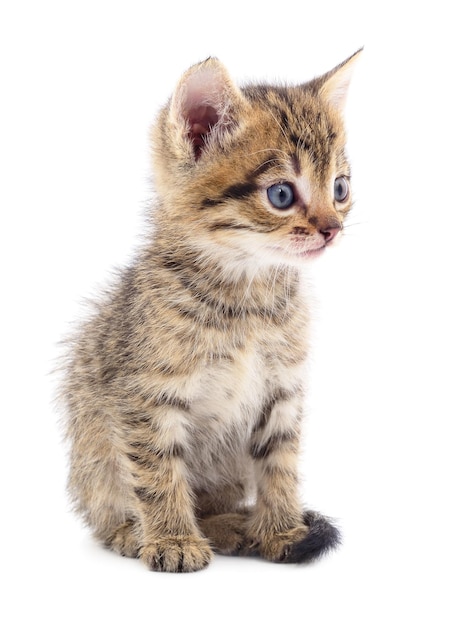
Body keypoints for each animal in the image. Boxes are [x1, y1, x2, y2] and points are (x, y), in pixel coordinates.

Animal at [61, 52, 362, 572]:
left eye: (340, 188)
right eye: (281, 195)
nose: (332, 229)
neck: (248, 297)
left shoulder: (282, 391)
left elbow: (279, 465)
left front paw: (282, 530)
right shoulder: (145, 396)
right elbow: (158, 471)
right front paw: (173, 540)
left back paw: (231, 526)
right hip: (92, 459)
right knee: (105, 511)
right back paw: (132, 532)